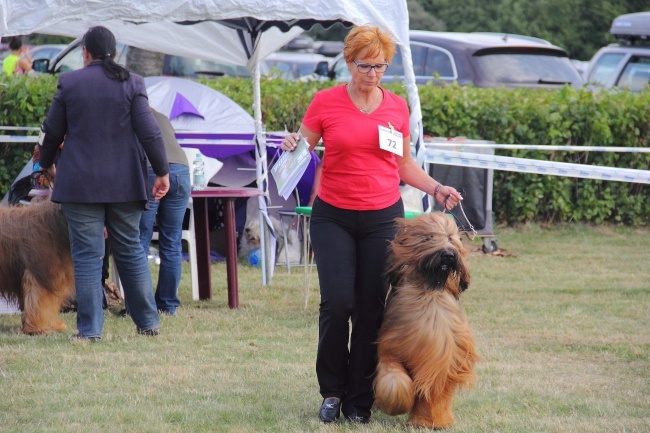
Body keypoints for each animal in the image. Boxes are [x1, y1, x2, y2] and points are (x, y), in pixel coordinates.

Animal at [372, 211, 478, 426]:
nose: (448, 255)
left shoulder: (391, 349)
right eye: (429, 237)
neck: (430, 290)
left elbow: (395, 378)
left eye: (451, 238)